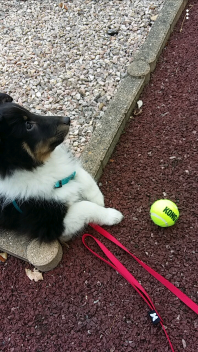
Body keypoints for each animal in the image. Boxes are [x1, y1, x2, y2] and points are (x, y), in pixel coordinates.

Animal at [0, 92, 123, 243]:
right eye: (28, 125)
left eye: (29, 112)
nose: (67, 119)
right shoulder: (50, 224)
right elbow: (85, 206)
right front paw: (111, 215)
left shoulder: (66, 170)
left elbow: (82, 175)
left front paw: (99, 199)